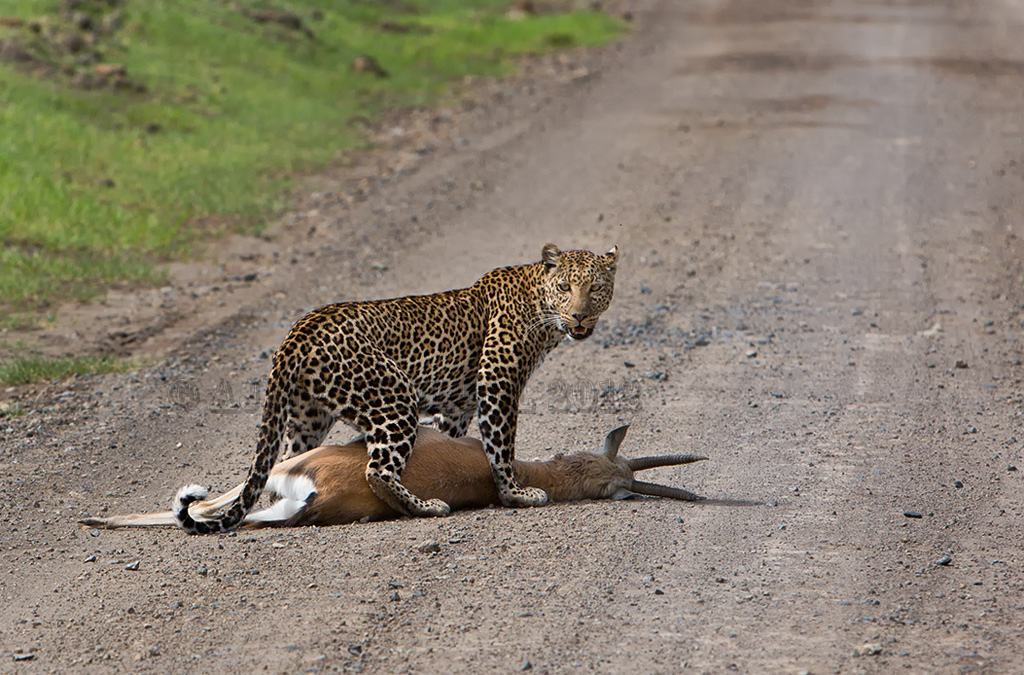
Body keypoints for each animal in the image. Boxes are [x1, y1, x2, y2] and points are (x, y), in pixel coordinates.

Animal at [174, 243, 619, 534]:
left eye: (595, 289)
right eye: (565, 287)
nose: (579, 316)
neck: (542, 310)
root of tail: (297, 334)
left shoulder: (458, 407)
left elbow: (455, 441)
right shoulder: (498, 382)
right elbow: (501, 446)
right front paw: (515, 494)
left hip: (308, 418)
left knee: (286, 463)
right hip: (393, 398)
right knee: (377, 470)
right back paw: (424, 507)